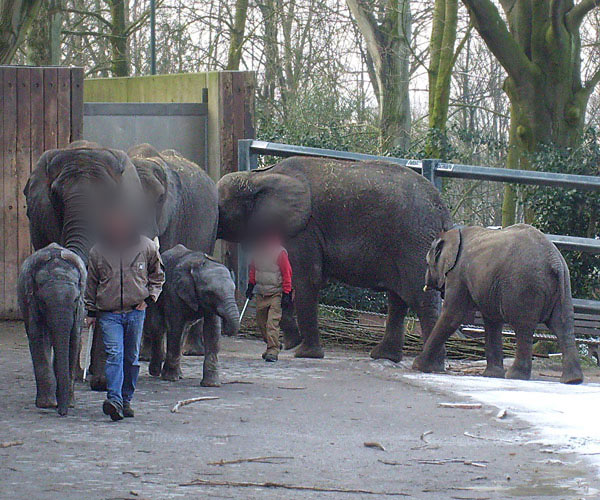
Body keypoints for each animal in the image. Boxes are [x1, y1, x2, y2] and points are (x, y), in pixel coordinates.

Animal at [18, 244, 86, 416]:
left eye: (76, 299)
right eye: (43, 302)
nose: (62, 413)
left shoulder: (79, 308)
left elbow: (73, 339)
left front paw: (70, 404)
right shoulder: (31, 301)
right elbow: (39, 337)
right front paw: (47, 404)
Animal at [145, 246, 239, 386]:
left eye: (233, 290)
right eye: (210, 293)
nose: (227, 328)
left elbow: (212, 330)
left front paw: (211, 384)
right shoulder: (174, 291)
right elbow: (175, 326)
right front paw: (170, 378)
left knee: (183, 330)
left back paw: (178, 375)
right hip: (156, 292)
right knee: (158, 326)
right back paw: (157, 372)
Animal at [216, 156, 450, 364]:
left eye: (219, 207)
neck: (257, 176)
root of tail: (442, 208)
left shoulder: (304, 229)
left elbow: (305, 280)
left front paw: (303, 352)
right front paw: (291, 344)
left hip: (414, 240)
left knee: (420, 297)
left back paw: (425, 366)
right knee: (397, 300)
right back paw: (384, 356)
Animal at [414, 225, 584, 384]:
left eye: (427, 263)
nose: (426, 281)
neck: (452, 235)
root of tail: (554, 260)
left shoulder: (457, 274)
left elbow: (453, 315)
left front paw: (418, 365)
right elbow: (492, 321)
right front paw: (492, 374)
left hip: (524, 285)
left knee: (523, 327)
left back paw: (515, 376)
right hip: (564, 284)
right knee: (563, 326)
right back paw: (572, 380)